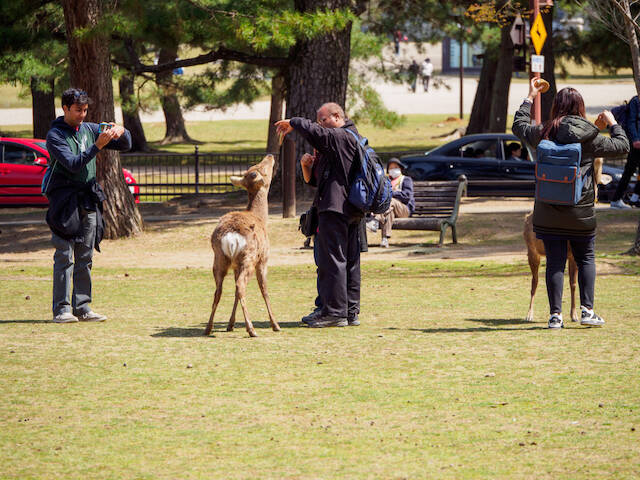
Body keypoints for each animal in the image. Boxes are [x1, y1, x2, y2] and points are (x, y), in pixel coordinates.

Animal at [202, 155, 278, 338]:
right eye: (261, 168)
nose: (270, 156)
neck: (261, 218)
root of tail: (230, 236)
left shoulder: (235, 266)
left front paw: (230, 324)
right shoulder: (264, 260)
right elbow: (264, 289)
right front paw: (275, 325)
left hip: (219, 259)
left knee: (219, 290)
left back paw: (208, 328)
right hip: (248, 258)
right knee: (240, 286)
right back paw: (251, 329)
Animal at [524, 158, 604, 322]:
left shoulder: (572, 255)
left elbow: (572, 283)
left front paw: (574, 315)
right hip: (532, 251)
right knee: (534, 281)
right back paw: (529, 315)